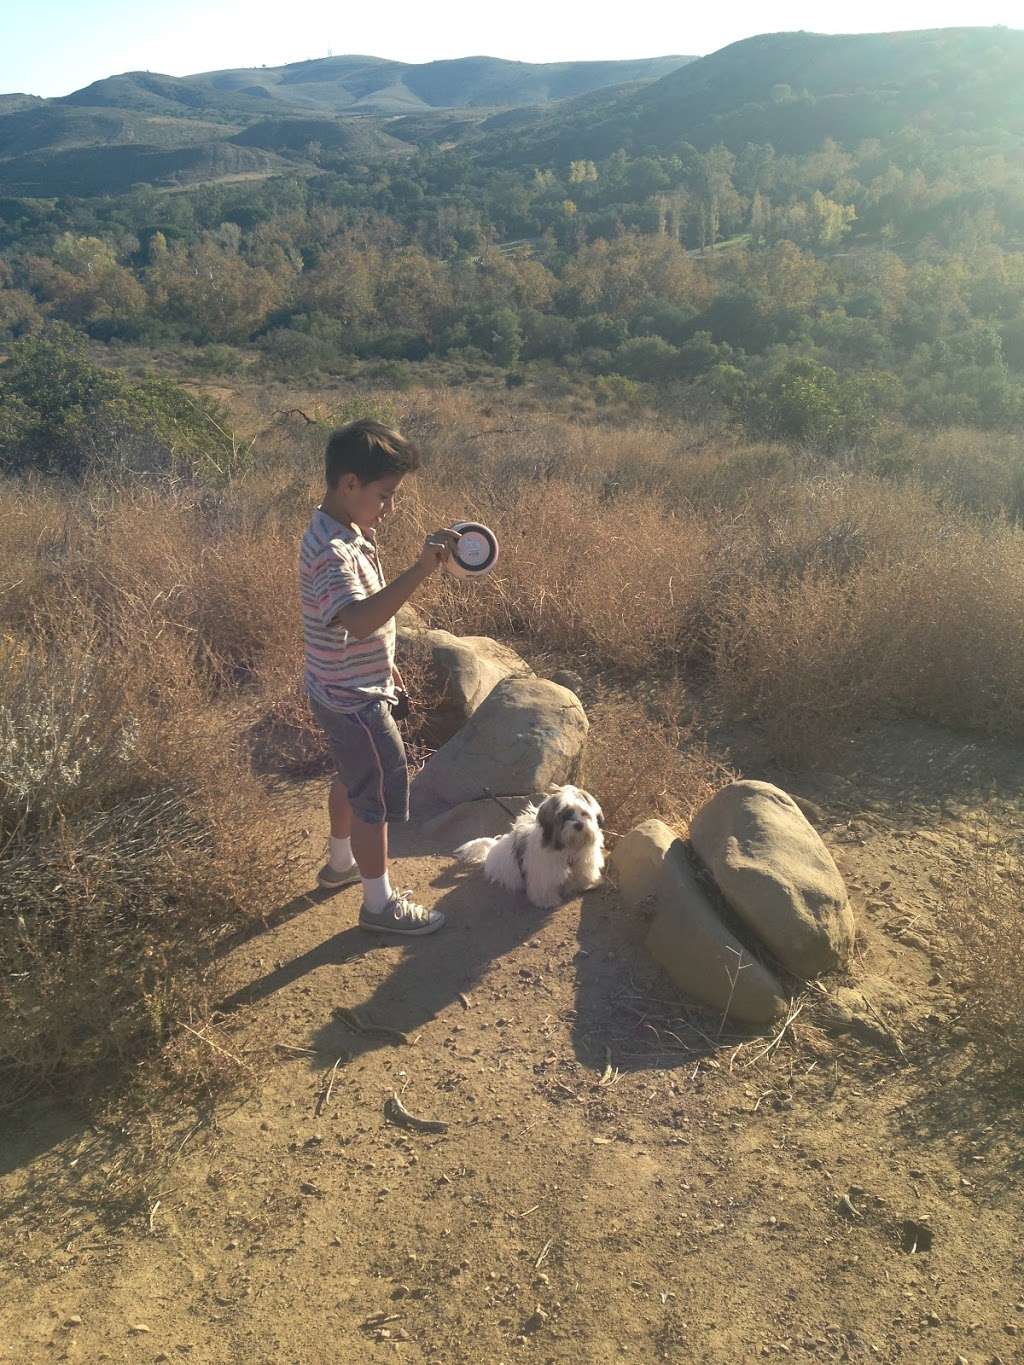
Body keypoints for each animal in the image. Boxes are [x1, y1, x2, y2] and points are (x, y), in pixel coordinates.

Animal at [453, 786, 606, 911]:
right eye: (565, 815)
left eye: (584, 813)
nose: (579, 825)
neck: (569, 845)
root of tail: (493, 846)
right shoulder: (544, 871)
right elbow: (544, 886)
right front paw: (546, 901)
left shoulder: (584, 861)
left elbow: (583, 874)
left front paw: (586, 884)